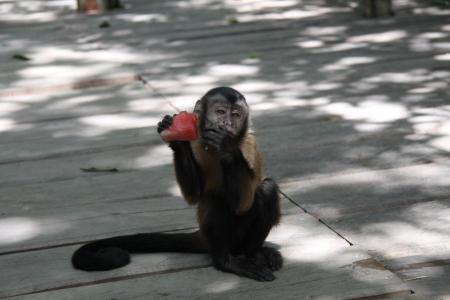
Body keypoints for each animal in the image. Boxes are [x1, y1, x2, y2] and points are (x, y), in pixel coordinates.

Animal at [72, 86, 282, 282]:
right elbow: (194, 194)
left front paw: (226, 146)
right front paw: (178, 140)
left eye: (236, 115)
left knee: (265, 189)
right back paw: (225, 261)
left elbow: (243, 204)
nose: (227, 124)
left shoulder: (249, 144)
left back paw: (253, 253)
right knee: (217, 199)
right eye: (221, 112)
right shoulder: (197, 143)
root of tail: (201, 236)